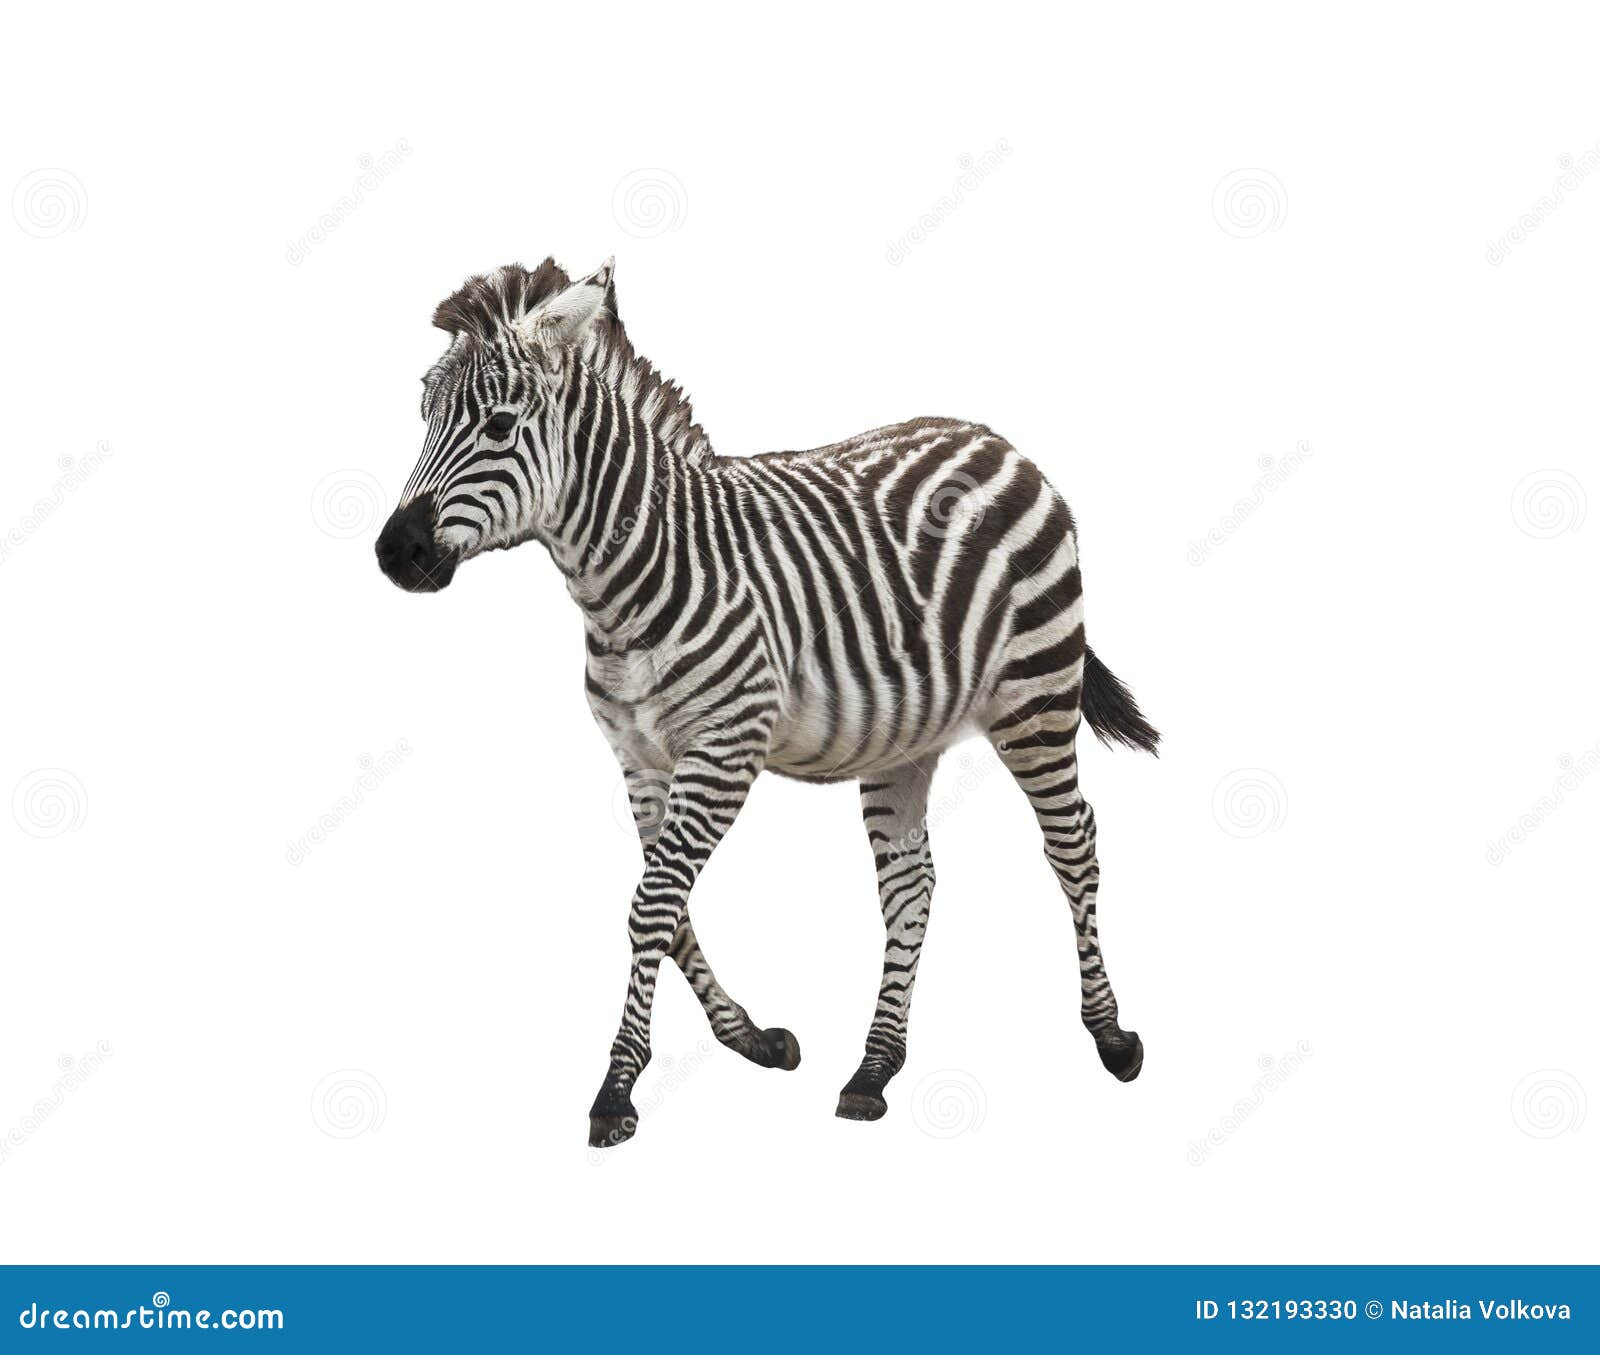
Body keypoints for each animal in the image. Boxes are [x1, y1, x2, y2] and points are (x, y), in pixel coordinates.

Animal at [376, 257, 1160, 1148]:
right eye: (425, 417)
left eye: (502, 425)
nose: (394, 553)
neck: (628, 582)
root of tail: (996, 440)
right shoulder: (639, 760)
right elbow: (667, 903)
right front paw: (749, 1036)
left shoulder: (722, 749)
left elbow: (652, 905)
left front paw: (617, 1088)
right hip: (908, 734)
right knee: (911, 883)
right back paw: (874, 1066)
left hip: (1037, 696)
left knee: (1074, 844)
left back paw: (1111, 1035)